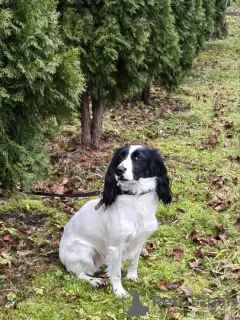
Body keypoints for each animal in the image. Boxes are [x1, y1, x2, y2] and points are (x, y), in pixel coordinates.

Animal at [60, 146, 172, 296]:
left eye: (138, 157)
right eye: (120, 157)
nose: (119, 170)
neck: (135, 197)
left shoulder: (139, 240)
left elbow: (134, 261)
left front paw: (132, 276)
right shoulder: (115, 247)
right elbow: (116, 273)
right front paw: (119, 291)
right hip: (84, 251)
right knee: (78, 273)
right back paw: (95, 281)